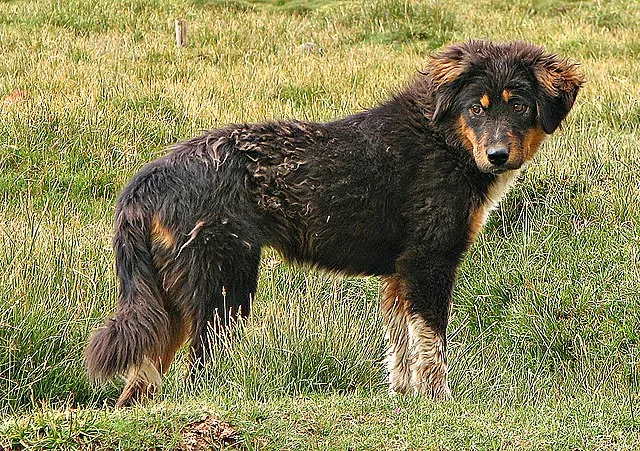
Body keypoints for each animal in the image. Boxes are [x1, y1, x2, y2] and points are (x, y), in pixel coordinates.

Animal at [86, 40, 584, 408]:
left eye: (518, 106)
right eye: (476, 109)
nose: (498, 155)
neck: (443, 140)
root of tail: (148, 179)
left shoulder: (399, 273)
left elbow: (400, 348)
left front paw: (403, 400)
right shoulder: (428, 262)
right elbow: (431, 346)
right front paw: (437, 402)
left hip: (168, 299)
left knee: (141, 379)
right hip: (224, 285)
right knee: (197, 371)